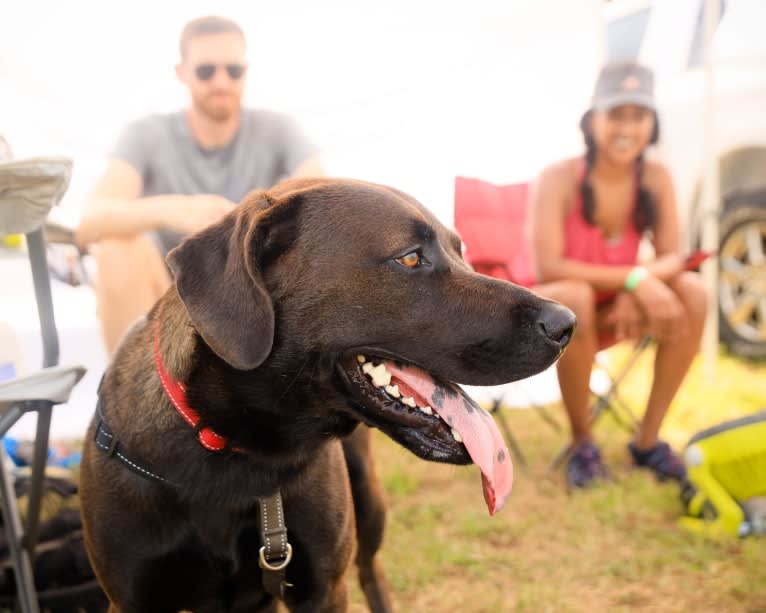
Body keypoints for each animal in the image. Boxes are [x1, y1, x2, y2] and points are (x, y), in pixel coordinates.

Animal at [79, 178, 576, 612]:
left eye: (461, 251)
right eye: (410, 258)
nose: (566, 324)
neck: (239, 455)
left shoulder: (323, 587)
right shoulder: (131, 598)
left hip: (368, 508)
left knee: (373, 573)